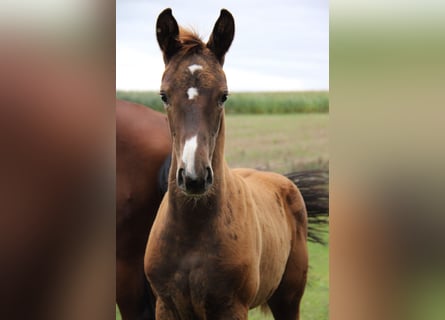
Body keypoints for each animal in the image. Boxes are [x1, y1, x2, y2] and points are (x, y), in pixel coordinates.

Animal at [144, 8, 306, 318]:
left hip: (289, 298)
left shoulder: (231, 308)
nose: (194, 178)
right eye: (163, 95)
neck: (192, 231)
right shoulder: (165, 305)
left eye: (224, 95)